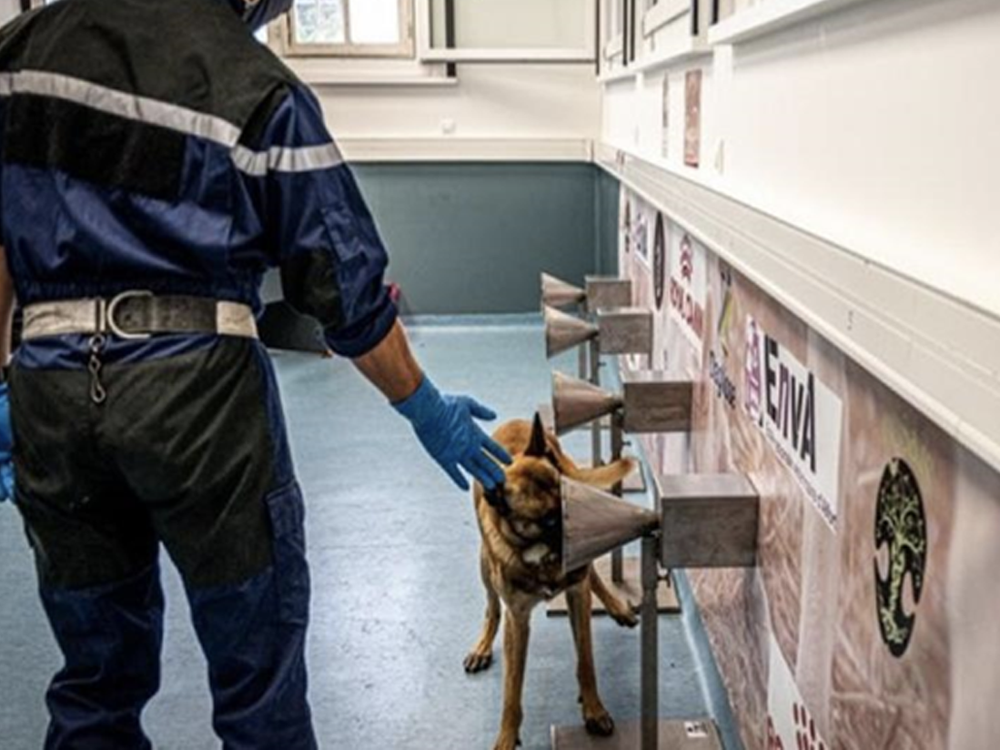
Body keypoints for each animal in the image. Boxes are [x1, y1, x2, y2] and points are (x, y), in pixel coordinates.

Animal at [464, 418, 636, 750]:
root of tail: (515, 422)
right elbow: (512, 688)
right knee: (492, 608)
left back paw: (616, 607)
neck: (541, 556)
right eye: (549, 521)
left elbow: (586, 661)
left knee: (593, 577)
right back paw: (482, 646)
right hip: (484, 563)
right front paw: (506, 735)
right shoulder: (517, 619)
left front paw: (593, 709)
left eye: (567, 497)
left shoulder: (577, 593)